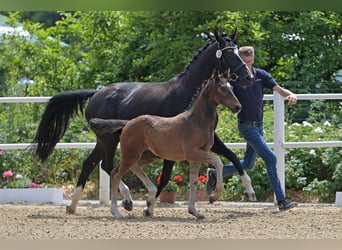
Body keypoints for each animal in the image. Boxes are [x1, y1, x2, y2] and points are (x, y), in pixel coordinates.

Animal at [89, 70, 242, 219]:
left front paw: (195, 211)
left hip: (149, 155)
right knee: (116, 174)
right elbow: (218, 162)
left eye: (232, 88)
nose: (238, 107)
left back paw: (148, 200)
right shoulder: (193, 152)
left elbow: (193, 182)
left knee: (133, 167)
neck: (196, 122)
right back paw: (117, 212)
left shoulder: (195, 158)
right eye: (222, 88)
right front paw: (214, 196)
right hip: (131, 154)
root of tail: (127, 123)